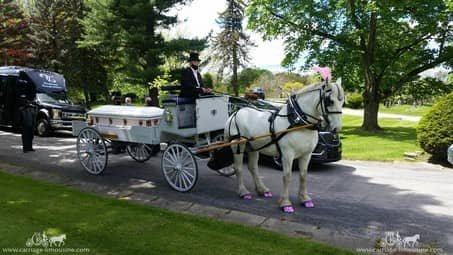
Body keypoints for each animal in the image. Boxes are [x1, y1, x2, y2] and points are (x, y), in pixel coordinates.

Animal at [224, 76, 344, 212]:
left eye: (343, 102)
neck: (298, 122)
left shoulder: (306, 155)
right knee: (238, 168)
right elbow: (287, 176)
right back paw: (243, 192)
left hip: (254, 147)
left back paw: (262, 190)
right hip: (238, 145)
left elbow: (303, 175)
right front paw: (285, 203)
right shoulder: (287, 154)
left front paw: (305, 199)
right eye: (330, 101)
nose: (336, 129)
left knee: (253, 167)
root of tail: (235, 113)